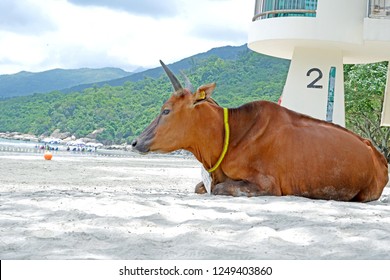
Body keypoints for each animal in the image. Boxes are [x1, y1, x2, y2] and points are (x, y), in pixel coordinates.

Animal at [133, 60, 388, 201]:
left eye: (166, 110)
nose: (135, 142)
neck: (231, 137)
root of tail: (375, 152)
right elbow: (201, 187)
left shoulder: (267, 185)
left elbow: (219, 188)